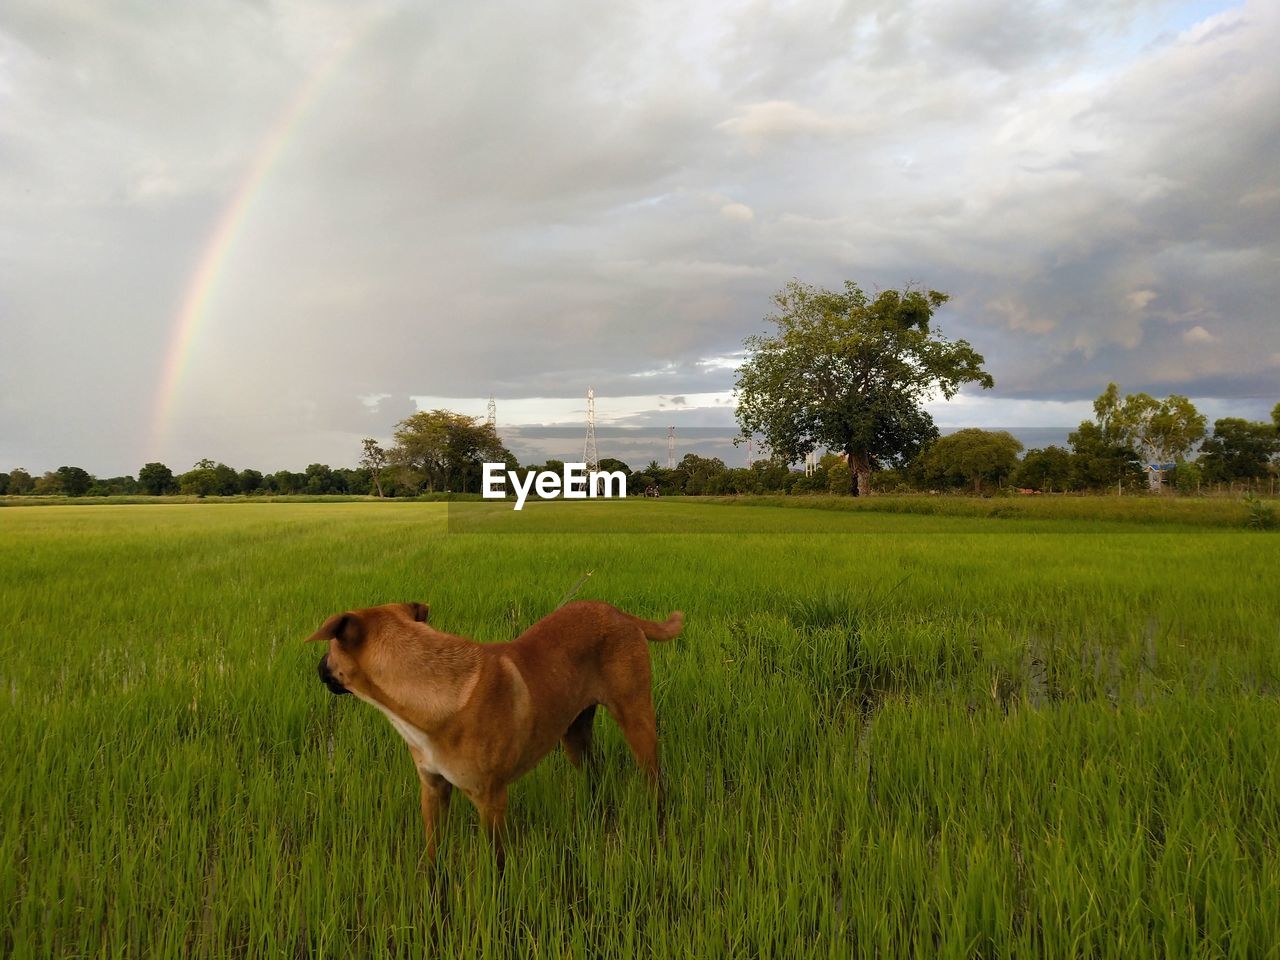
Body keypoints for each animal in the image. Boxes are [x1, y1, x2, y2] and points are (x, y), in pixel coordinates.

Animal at [307, 601, 680, 865]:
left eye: (330, 649)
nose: (318, 668)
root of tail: (617, 612)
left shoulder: (491, 801)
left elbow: (496, 864)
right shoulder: (433, 788)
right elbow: (433, 855)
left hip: (636, 720)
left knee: (656, 780)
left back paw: (659, 826)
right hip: (574, 734)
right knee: (595, 776)